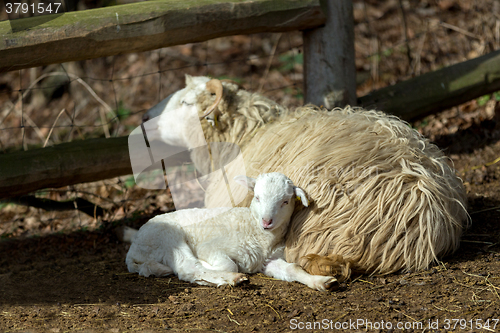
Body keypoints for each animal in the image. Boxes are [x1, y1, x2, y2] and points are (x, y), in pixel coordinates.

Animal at [125, 172, 338, 290]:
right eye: (257, 197)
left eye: (285, 201)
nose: (267, 221)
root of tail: (132, 251)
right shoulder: (210, 248)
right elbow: (228, 264)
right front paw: (225, 271)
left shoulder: (268, 260)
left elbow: (293, 268)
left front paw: (321, 281)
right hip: (167, 238)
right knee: (188, 268)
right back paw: (233, 278)